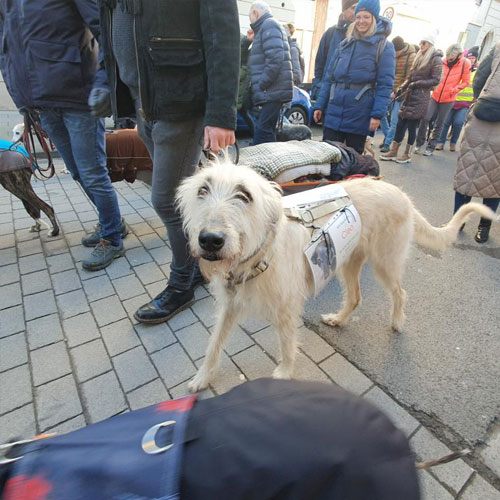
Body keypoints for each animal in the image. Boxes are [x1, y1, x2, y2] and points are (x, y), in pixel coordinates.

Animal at [178, 160, 494, 390]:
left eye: (244, 195)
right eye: (202, 190)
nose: (210, 240)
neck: (259, 252)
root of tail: (402, 195)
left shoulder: (287, 310)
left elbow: (288, 345)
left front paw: (284, 374)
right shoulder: (229, 305)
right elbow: (213, 344)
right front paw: (202, 377)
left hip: (385, 262)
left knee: (400, 292)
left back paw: (397, 322)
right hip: (349, 262)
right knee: (355, 297)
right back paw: (339, 320)